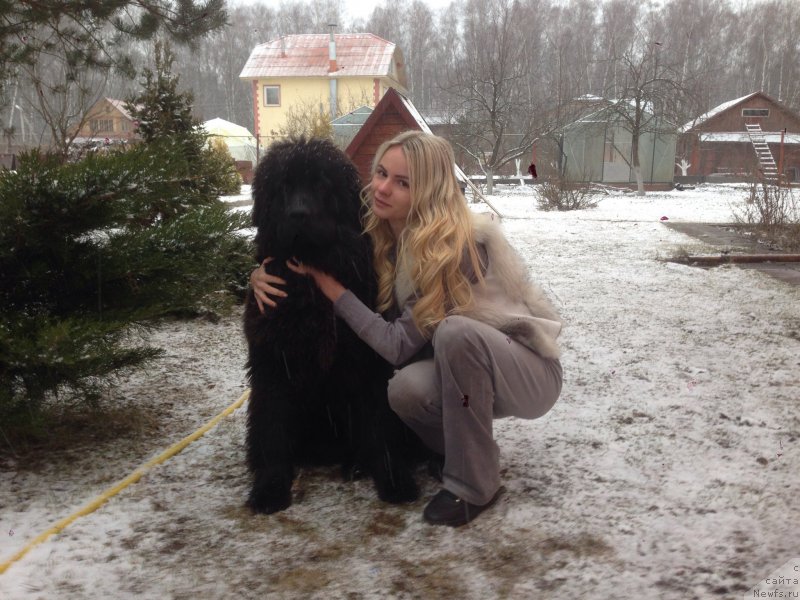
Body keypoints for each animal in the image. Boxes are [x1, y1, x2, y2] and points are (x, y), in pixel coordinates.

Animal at [242, 138, 418, 512]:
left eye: (321, 185)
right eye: (283, 187)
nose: (298, 214)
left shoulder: (369, 362)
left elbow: (380, 426)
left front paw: (394, 480)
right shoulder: (273, 362)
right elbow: (272, 429)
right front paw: (270, 488)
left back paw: (356, 464)